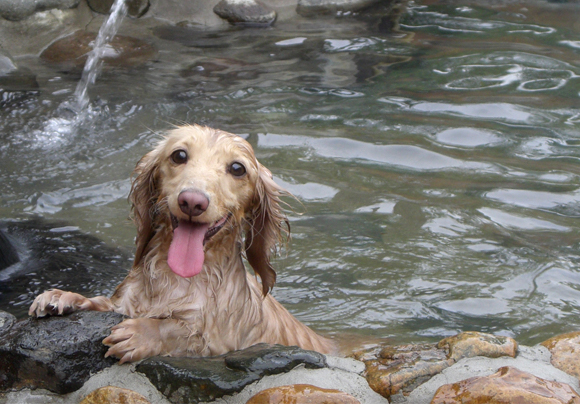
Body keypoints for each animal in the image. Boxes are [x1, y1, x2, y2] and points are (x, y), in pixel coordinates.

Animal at [29, 124, 336, 362]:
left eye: (238, 168)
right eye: (179, 155)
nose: (192, 201)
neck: (176, 279)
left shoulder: (222, 343)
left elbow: (184, 332)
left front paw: (142, 334)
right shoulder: (123, 305)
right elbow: (105, 304)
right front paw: (65, 297)